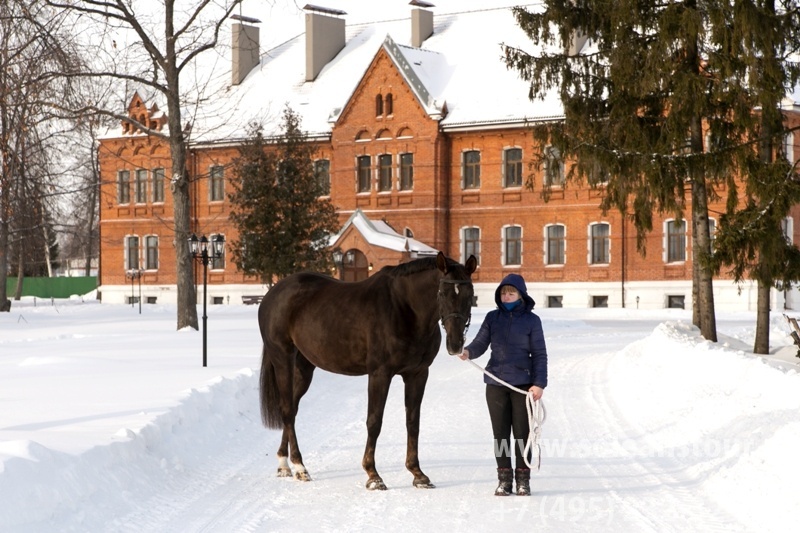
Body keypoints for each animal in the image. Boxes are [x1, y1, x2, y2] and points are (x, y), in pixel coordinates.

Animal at [260, 251, 478, 488]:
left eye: (470, 294)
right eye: (442, 293)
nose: (455, 345)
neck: (403, 308)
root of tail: (273, 294)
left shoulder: (417, 374)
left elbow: (413, 422)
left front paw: (418, 473)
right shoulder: (379, 374)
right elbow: (374, 421)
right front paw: (373, 475)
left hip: (304, 368)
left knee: (291, 408)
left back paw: (284, 463)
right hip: (283, 360)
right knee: (287, 410)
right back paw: (300, 467)